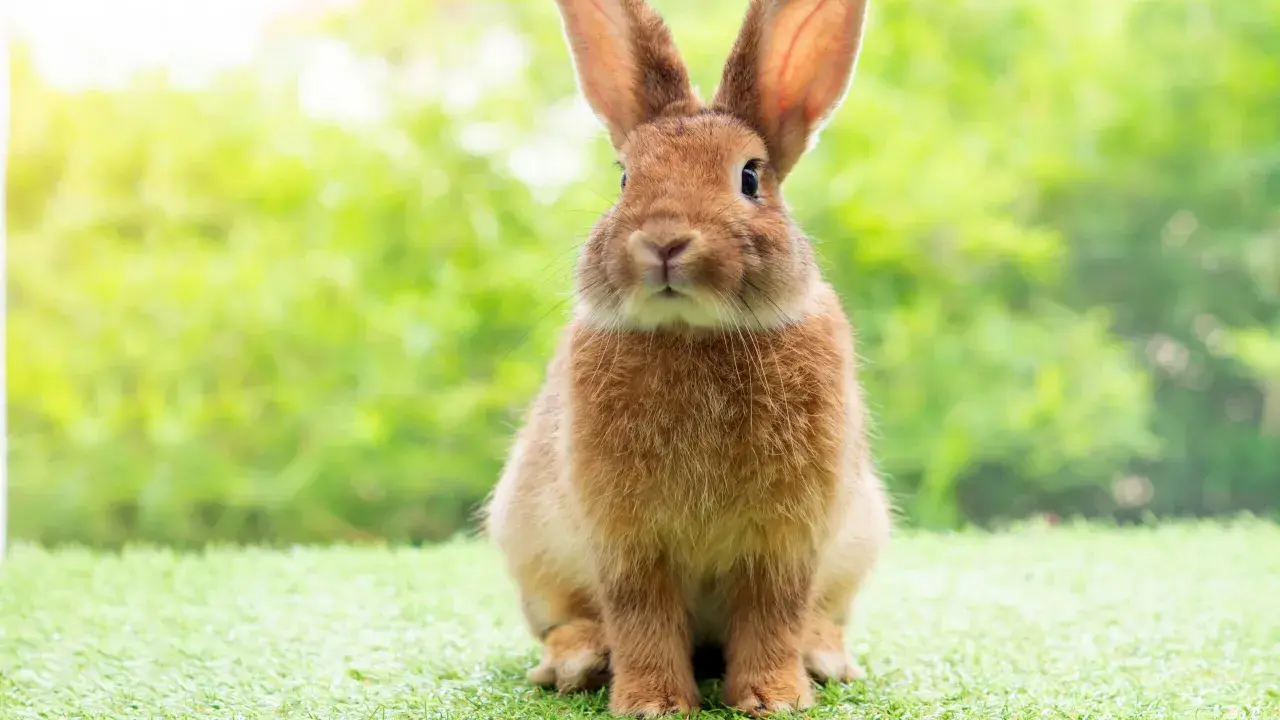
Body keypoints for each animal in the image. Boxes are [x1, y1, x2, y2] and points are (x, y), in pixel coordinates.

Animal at [484, 0, 890, 715]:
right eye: (625, 178)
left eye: (750, 177)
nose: (665, 240)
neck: (693, 332)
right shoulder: (626, 542)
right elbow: (640, 617)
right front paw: (652, 704)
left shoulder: (787, 541)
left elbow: (773, 615)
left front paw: (773, 699)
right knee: (568, 620)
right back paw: (578, 662)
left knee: (818, 616)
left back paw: (826, 658)